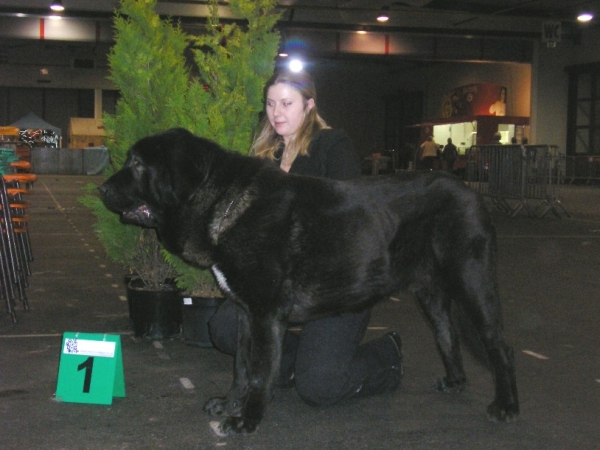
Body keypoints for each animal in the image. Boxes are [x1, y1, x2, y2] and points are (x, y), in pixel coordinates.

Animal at [101, 127, 516, 436]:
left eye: (136, 164)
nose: (102, 188)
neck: (224, 201)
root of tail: (471, 193)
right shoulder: (244, 312)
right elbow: (241, 366)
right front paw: (229, 404)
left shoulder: (265, 314)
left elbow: (258, 371)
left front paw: (246, 420)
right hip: (432, 295)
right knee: (448, 336)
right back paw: (455, 382)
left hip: (473, 285)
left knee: (499, 345)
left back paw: (506, 406)